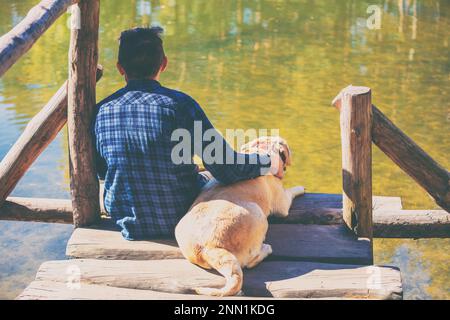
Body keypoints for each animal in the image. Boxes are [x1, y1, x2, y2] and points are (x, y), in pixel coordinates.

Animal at [174, 136, 304, 296]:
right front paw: (301, 188)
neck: (260, 151)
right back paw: (266, 249)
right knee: (250, 262)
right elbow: (292, 191)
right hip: (258, 214)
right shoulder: (283, 203)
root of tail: (208, 248)